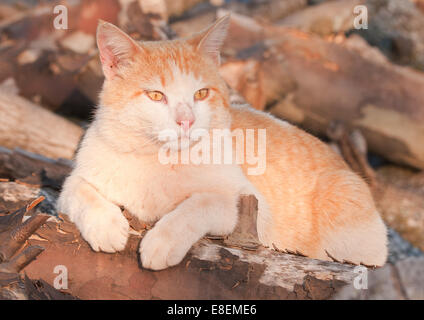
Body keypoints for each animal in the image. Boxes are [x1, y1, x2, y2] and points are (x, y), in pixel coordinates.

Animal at [57, 15, 388, 270]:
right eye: (155, 96)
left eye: (201, 94)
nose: (186, 120)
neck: (158, 160)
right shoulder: (75, 181)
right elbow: (80, 192)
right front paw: (107, 227)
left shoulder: (251, 211)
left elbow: (200, 203)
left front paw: (162, 242)